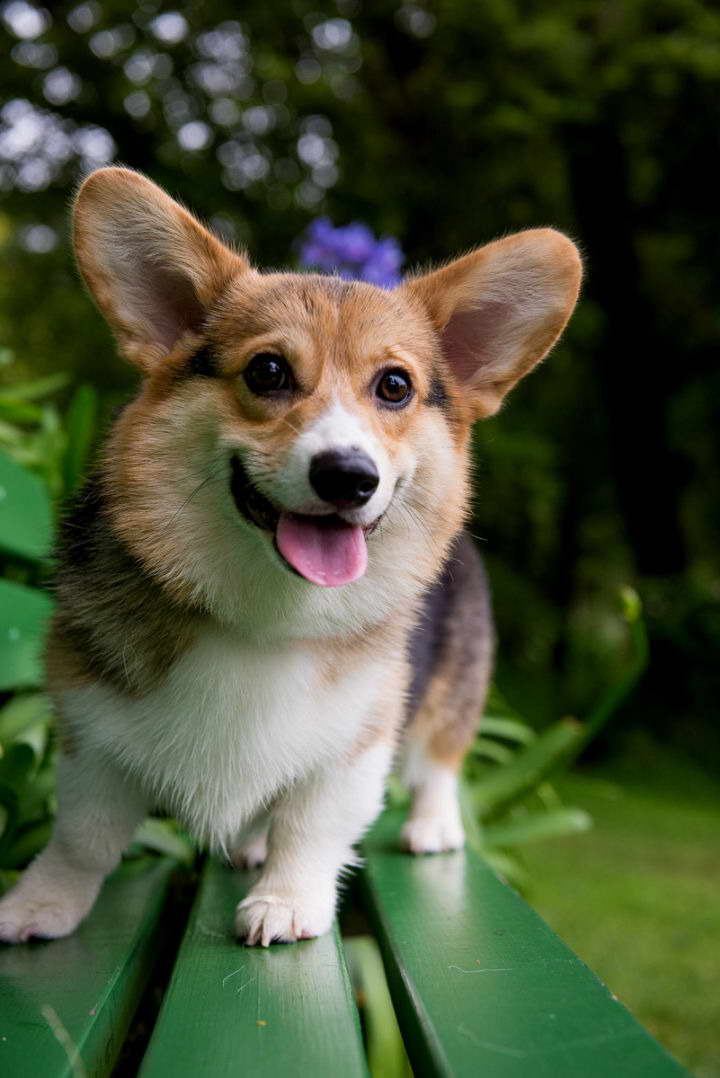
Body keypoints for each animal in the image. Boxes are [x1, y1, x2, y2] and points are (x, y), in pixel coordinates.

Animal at [0, 168, 577, 944]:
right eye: (268, 371)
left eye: (395, 386)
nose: (349, 476)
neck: (267, 610)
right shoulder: (91, 725)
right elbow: (83, 835)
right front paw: (41, 904)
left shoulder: (357, 740)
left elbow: (312, 826)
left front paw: (287, 902)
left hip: (455, 684)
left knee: (439, 761)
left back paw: (431, 827)